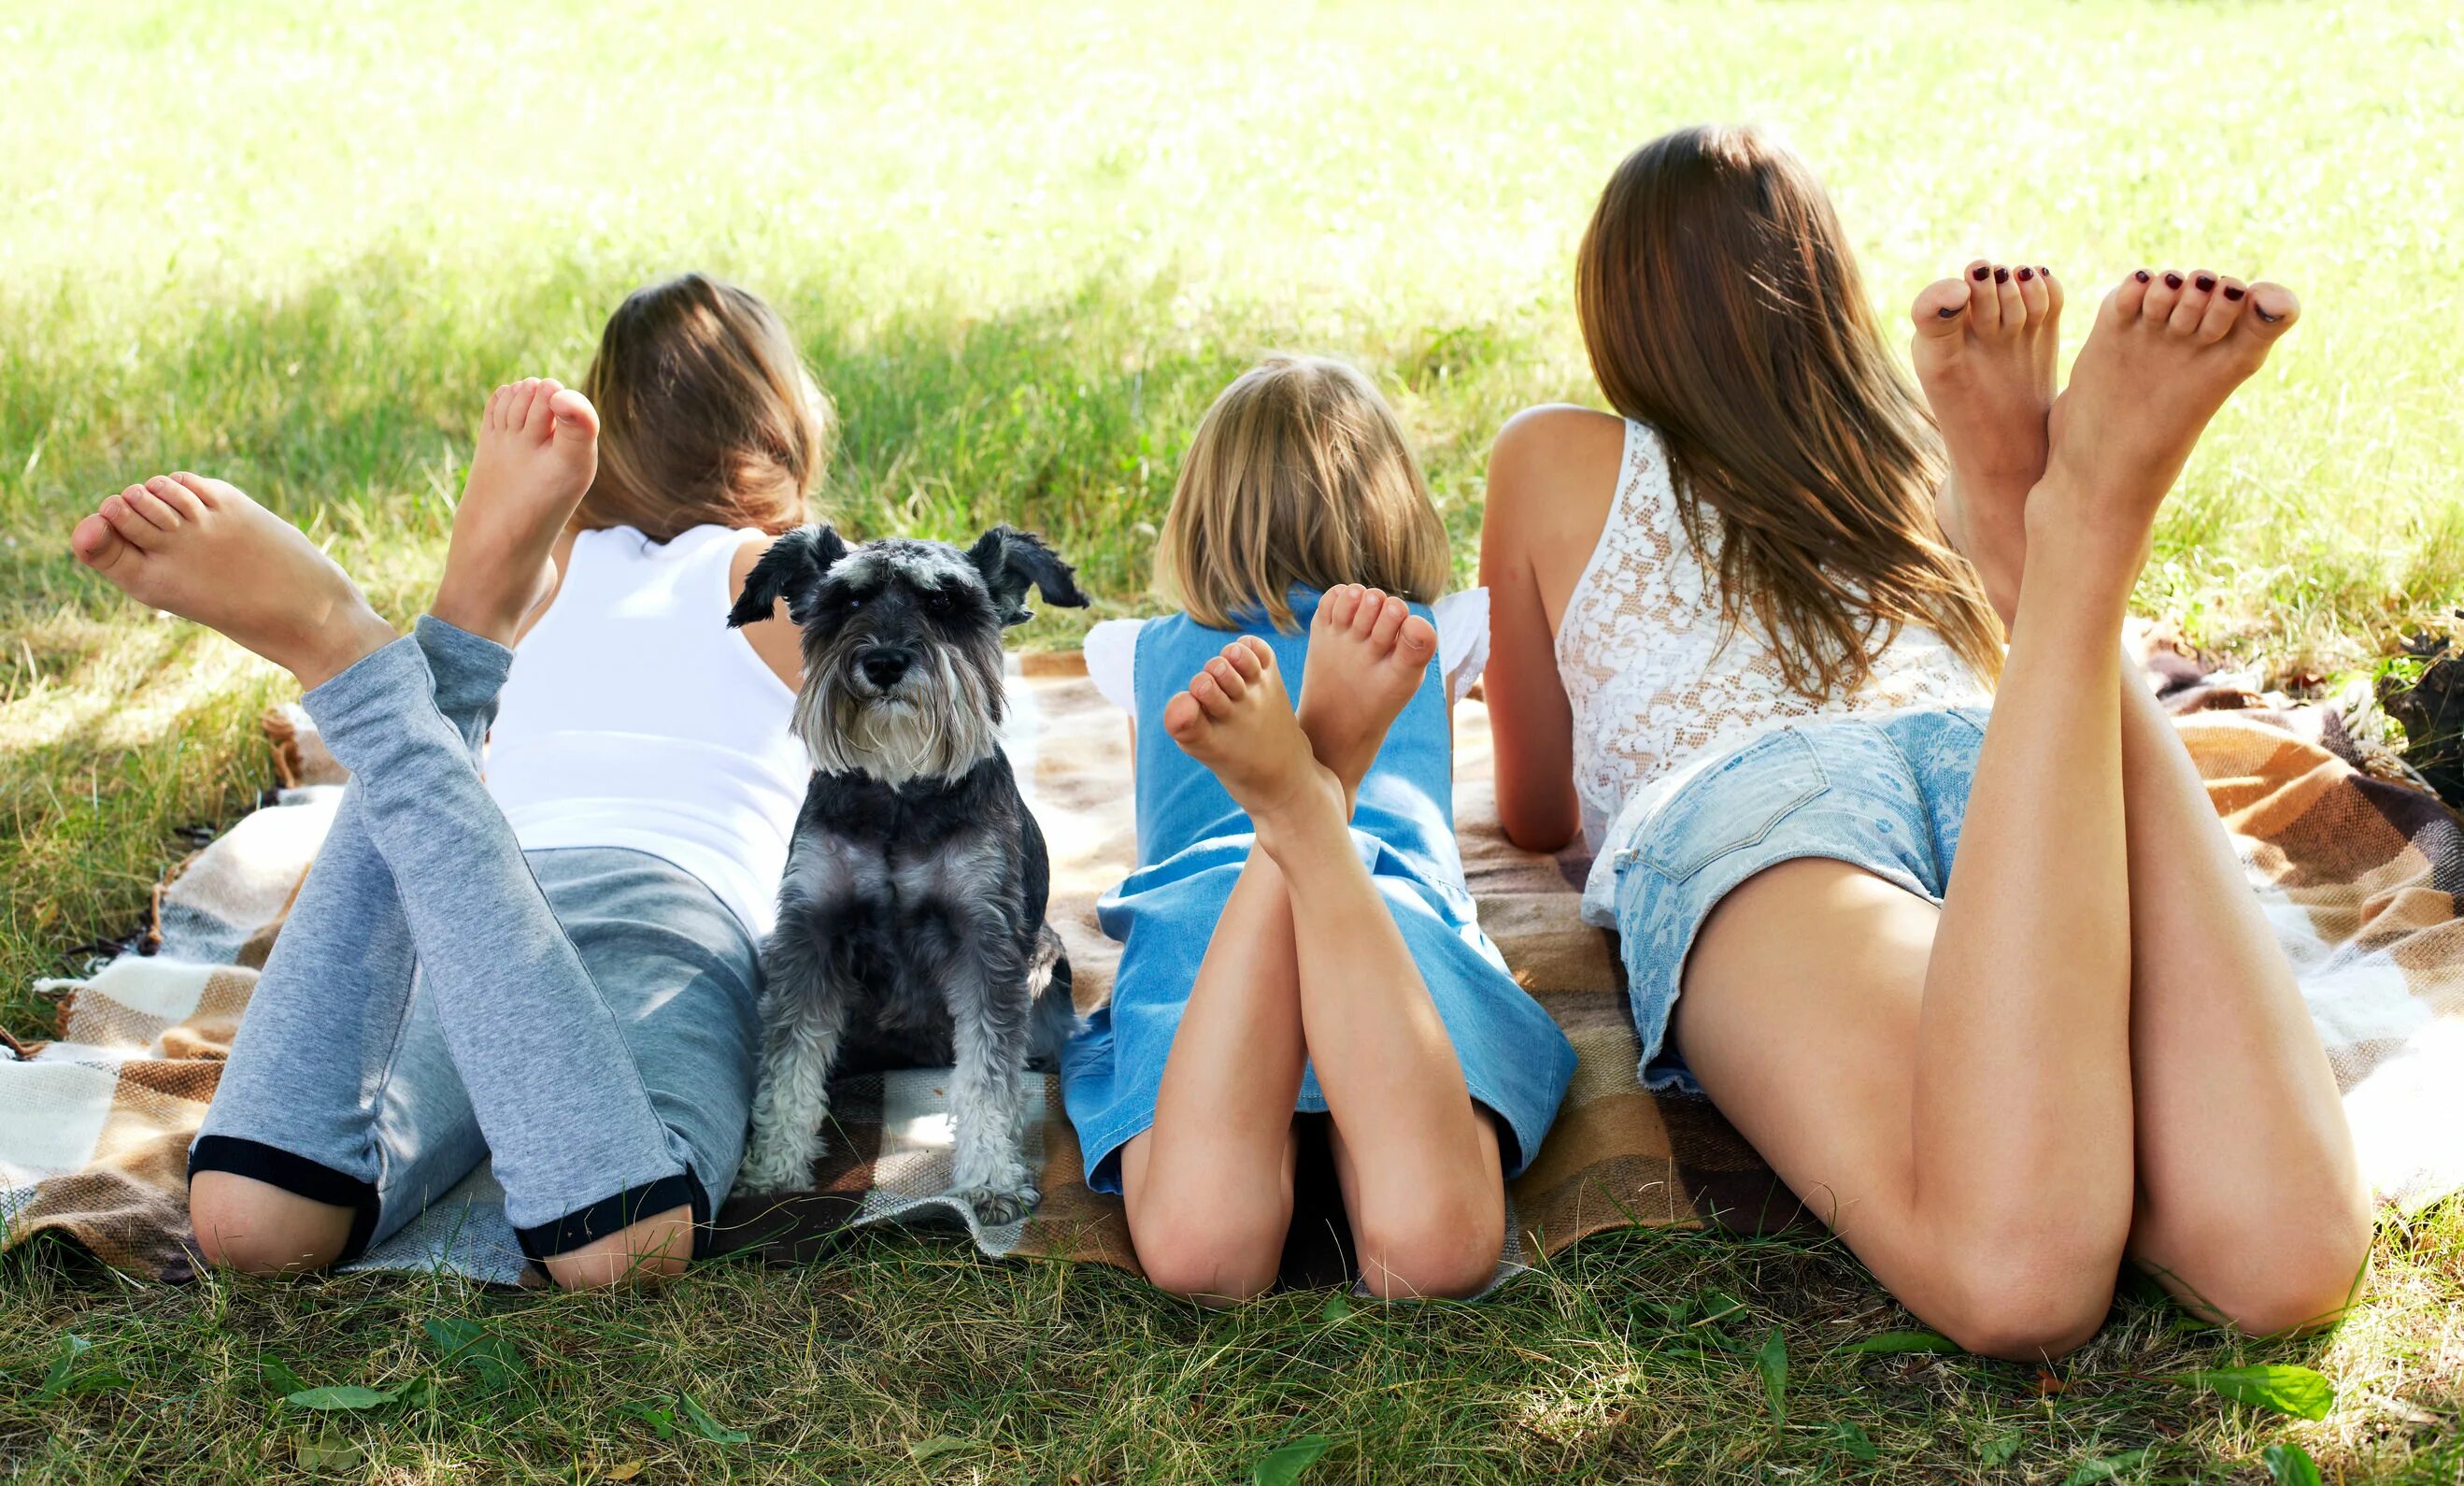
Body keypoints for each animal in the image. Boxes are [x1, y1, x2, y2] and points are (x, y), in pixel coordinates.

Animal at [719, 522, 1089, 1222]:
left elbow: (988, 1074)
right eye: (846, 602)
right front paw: (773, 1173)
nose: (885, 663)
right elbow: (789, 1064)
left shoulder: (985, 941)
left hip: (1046, 972)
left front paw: (991, 1180)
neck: (897, 791)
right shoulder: (809, 932)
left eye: (943, 602)